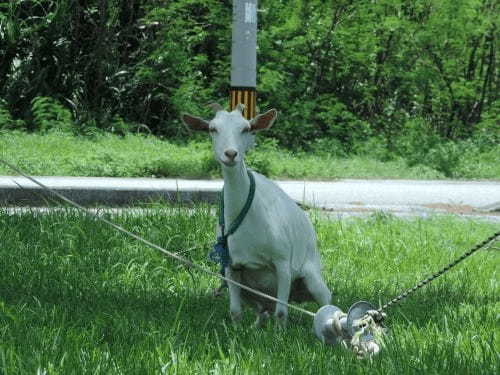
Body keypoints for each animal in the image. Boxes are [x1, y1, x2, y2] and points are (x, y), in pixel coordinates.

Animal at [182, 105, 330, 326]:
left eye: (246, 128)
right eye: (212, 129)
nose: (231, 154)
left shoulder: (283, 261)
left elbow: (281, 312)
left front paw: (279, 333)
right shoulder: (231, 266)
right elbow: (235, 311)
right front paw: (236, 330)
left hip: (312, 278)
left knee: (325, 302)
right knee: (262, 310)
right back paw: (256, 325)